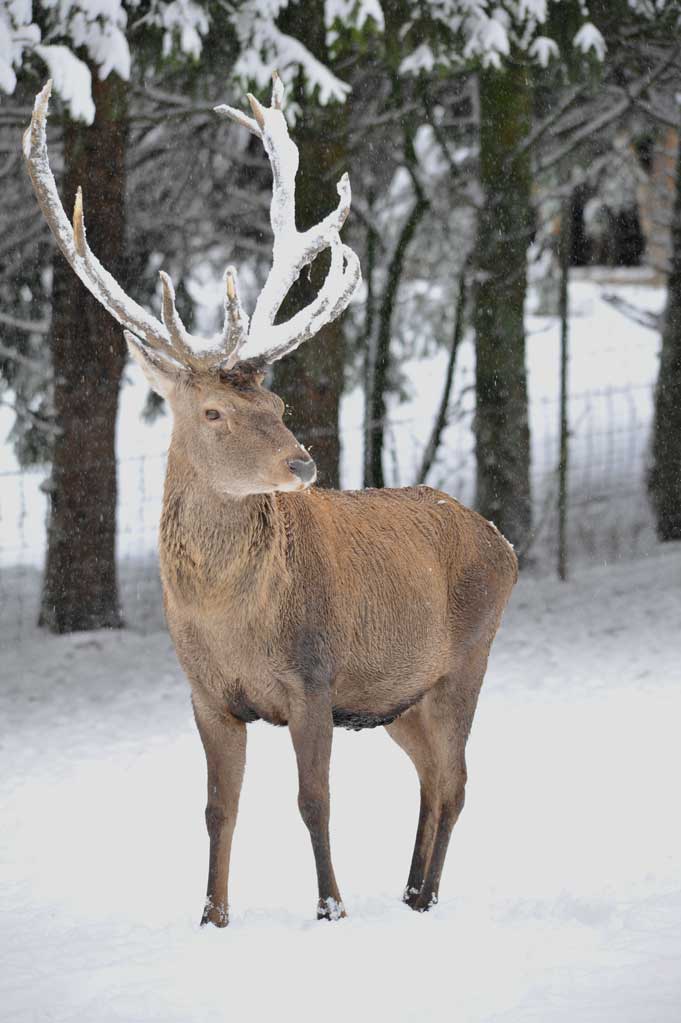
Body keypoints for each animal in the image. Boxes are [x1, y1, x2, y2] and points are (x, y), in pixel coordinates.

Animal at [24, 74, 517, 925]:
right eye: (215, 412)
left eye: (278, 401)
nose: (302, 459)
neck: (228, 621)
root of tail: (506, 542)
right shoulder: (207, 695)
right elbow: (218, 807)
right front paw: (211, 916)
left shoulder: (312, 676)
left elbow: (313, 799)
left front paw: (331, 908)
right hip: (398, 695)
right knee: (431, 776)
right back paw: (409, 892)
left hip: (465, 659)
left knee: (455, 780)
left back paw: (422, 899)